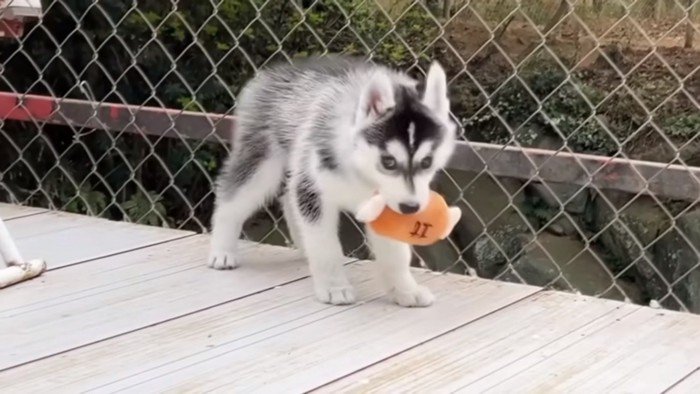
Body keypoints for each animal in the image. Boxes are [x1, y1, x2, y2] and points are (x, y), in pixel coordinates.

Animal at [208, 55, 456, 308]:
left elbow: (395, 254)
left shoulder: (386, 205)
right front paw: (334, 287)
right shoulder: (314, 191)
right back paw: (222, 250)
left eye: (427, 162)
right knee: (233, 200)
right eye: (388, 161)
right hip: (262, 163)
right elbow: (325, 246)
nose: (410, 208)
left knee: (289, 198)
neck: (362, 171)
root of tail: (274, 71)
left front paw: (406, 291)